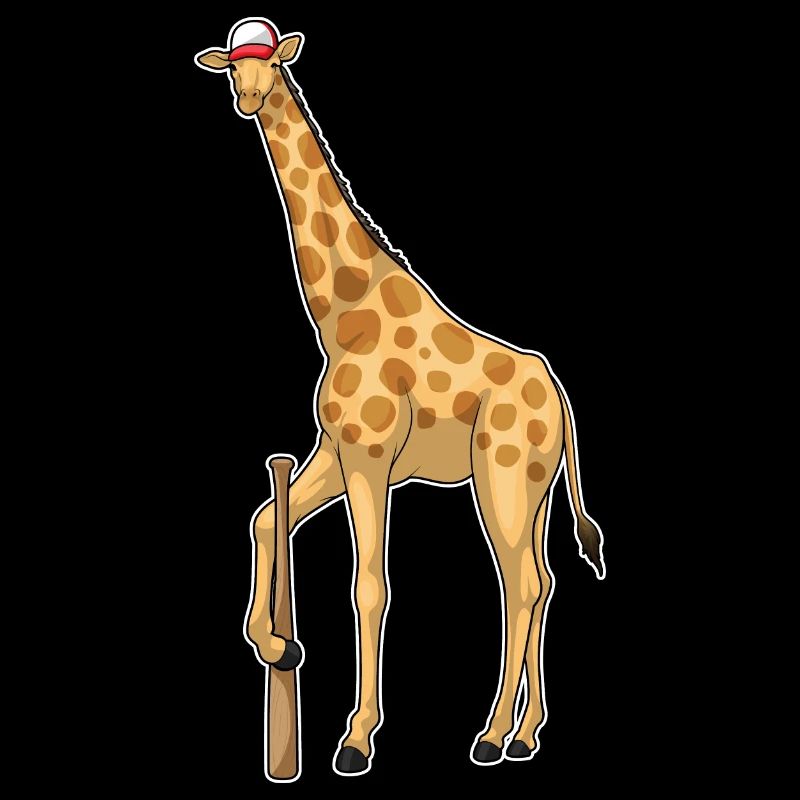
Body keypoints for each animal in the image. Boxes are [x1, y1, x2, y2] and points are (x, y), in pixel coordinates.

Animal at [196, 17, 605, 778]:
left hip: (502, 479)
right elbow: (266, 519)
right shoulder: (331, 451)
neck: (339, 313)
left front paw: (356, 739)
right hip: (533, 489)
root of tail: (561, 401)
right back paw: (525, 734)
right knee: (544, 582)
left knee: (521, 585)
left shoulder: (371, 457)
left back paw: (489, 737)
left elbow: (369, 584)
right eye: (232, 65)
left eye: (270, 62)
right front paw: (278, 646)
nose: (248, 98)